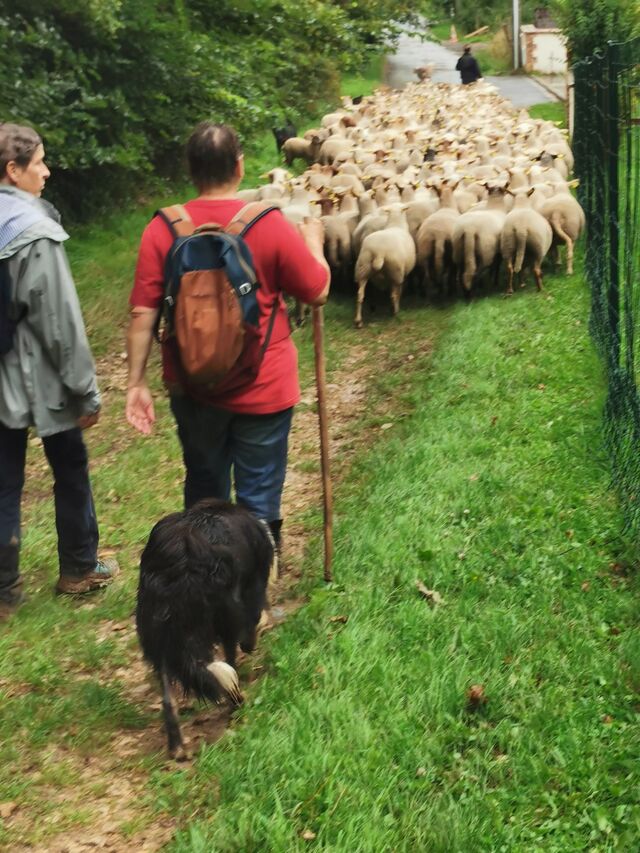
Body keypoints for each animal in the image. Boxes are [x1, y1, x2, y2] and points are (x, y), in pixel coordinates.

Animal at [136, 499, 275, 760]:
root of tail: (183, 563)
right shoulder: (249, 590)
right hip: (225, 612)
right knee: (229, 664)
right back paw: (236, 703)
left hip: (157, 635)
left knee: (168, 698)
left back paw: (177, 747)